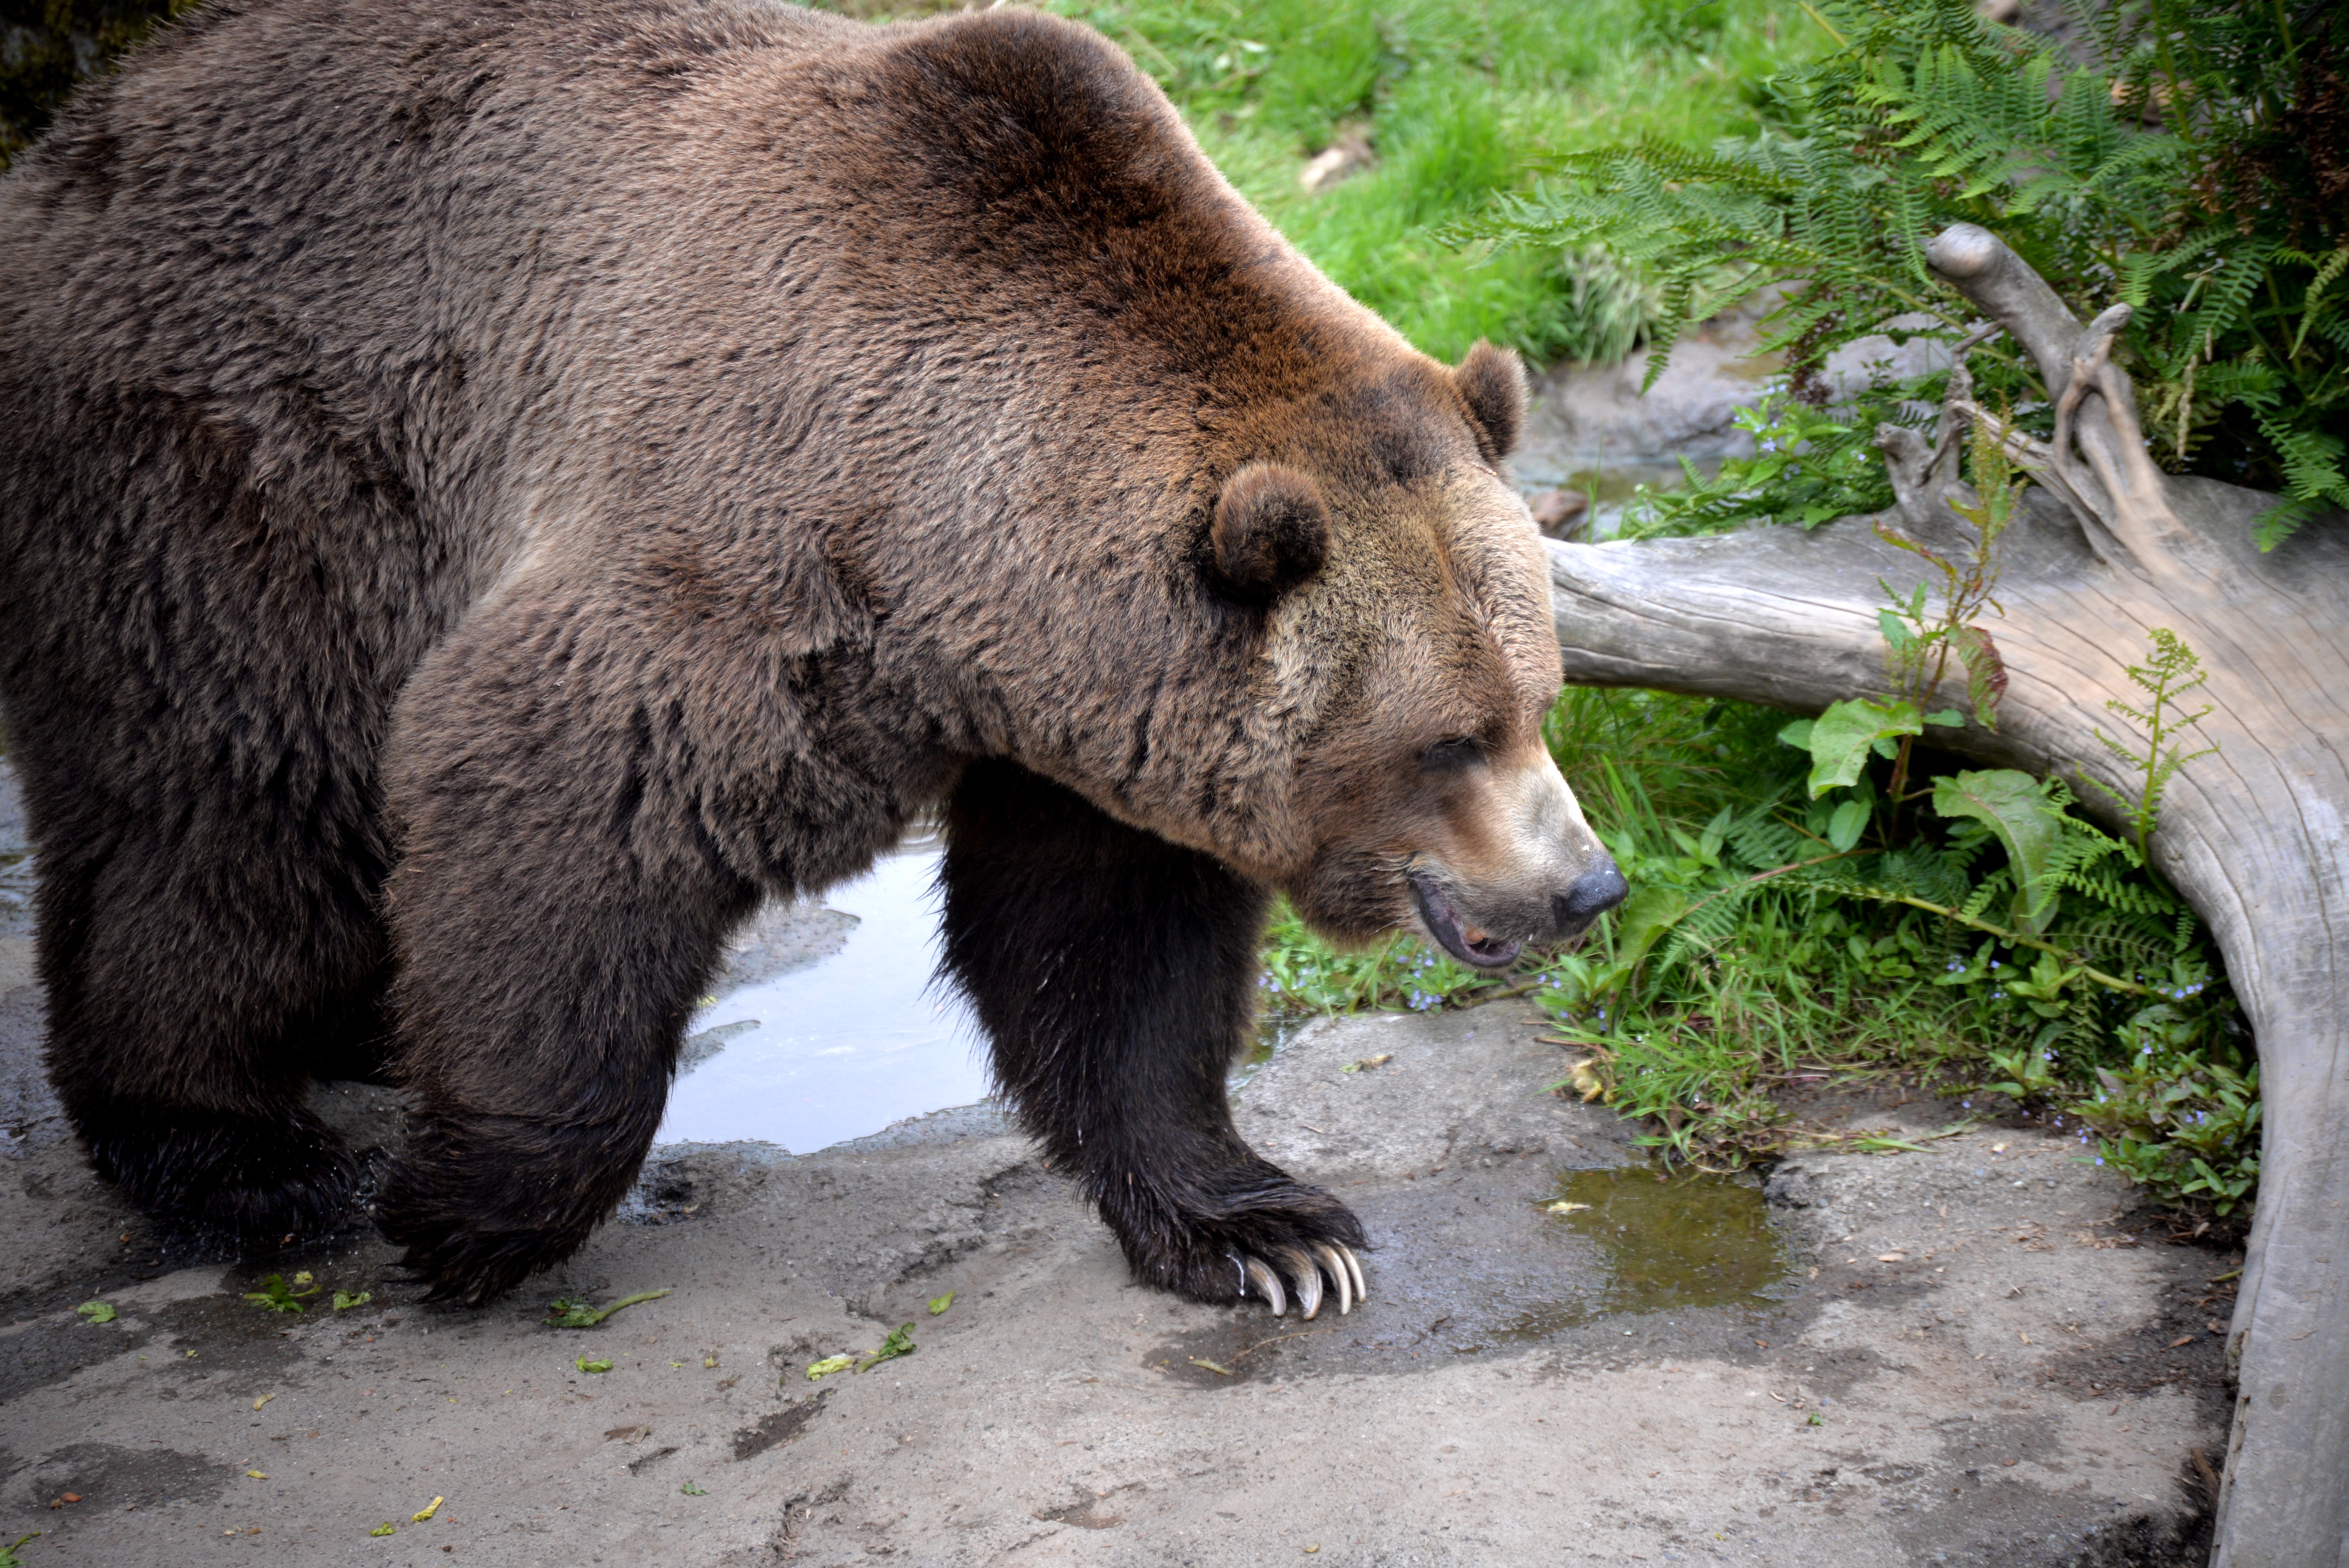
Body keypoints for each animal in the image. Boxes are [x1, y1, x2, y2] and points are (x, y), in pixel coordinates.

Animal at [0, 0, 1616, 1314]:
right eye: (1445, 738)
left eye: (1537, 699)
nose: (1582, 887)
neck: (956, 563)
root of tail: (79, 135)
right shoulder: (739, 548)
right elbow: (552, 791)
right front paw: (463, 1216)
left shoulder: (1087, 715)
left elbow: (1107, 959)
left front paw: (1270, 1234)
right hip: (245, 459)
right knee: (227, 804)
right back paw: (244, 1152)